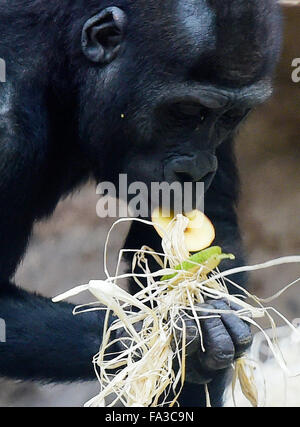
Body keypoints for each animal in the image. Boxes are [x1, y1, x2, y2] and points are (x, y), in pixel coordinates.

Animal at [0, 0, 282, 408]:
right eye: (187, 111)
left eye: (229, 116)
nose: (197, 168)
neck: (63, 74)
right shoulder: (6, 136)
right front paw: (183, 332)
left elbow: (206, 230)